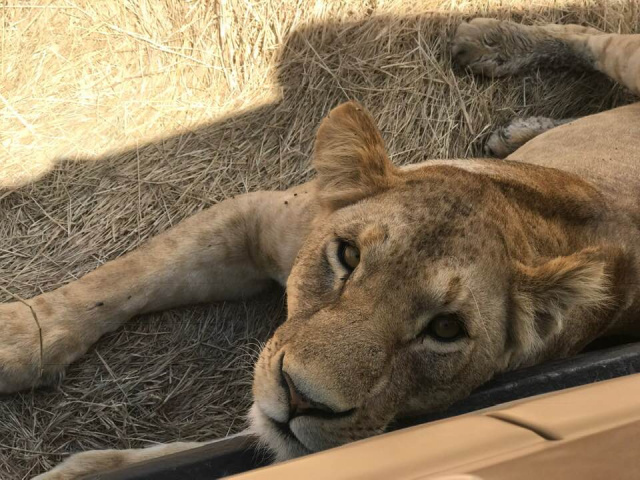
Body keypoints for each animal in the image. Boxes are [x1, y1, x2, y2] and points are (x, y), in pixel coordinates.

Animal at [3, 18, 638, 479]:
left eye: (446, 330)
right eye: (347, 256)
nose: (303, 400)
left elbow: (253, 436)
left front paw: (85, 470)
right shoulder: (256, 219)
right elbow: (121, 280)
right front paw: (17, 340)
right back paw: (495, 68)